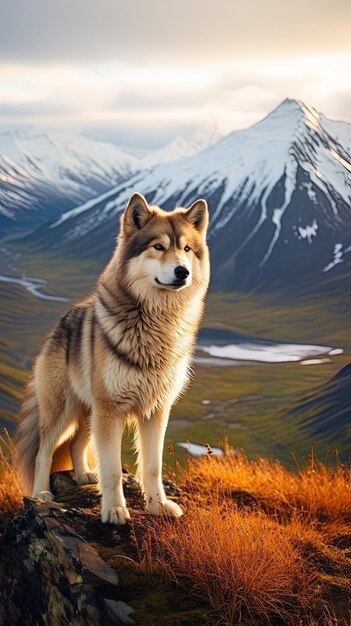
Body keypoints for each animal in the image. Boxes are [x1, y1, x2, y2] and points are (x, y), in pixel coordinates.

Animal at [15, 191, 210, 520]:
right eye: (158, 246)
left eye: (186, 249)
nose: (182, 271)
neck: (156, 324)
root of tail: (61, 321)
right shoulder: (111, 410)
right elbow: (113, 469)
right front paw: (115, 510)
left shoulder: (156, 411)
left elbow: (153, 466)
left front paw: (158, 506)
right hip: (63, 411)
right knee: (44, 451)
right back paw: (41, 493)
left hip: (87, 411)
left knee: (77, 443)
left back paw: (83, 475)